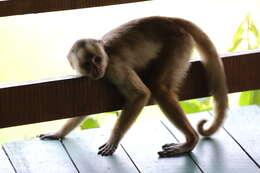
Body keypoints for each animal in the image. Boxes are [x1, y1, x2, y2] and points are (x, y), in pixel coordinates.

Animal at [39, 16, 229, 157]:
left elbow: (140, 94)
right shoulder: (88, 76)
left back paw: (190, 140)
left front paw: (113, 139)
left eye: (97, 60)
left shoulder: (113, 66)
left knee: (158, 87)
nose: (97, 69)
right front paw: (58, 133)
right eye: (87, 64)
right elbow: (84, 108)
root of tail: (170, 20)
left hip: (178, 42)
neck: (105, 54)